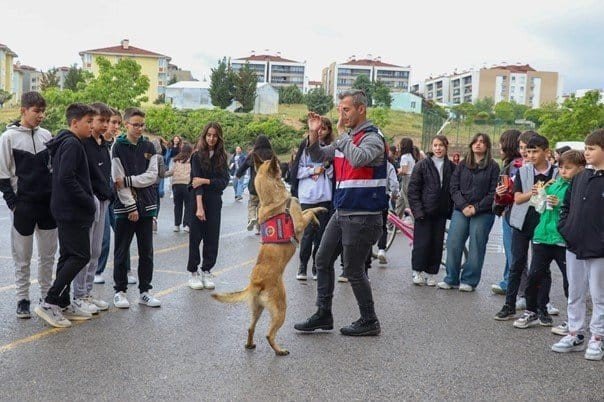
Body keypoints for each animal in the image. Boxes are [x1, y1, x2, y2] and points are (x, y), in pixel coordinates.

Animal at [212, 154, 326, 354]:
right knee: (268, 334)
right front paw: (318, 217)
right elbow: (309, 212)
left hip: (257, 310)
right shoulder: (299, 223)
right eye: (278, 164)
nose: (288, 164)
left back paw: (250, 344)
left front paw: (319, 213)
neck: (272, 199)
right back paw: (280, 350)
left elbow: (308, 209)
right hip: (281, 309)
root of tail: (256, 283)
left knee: (250, 328)